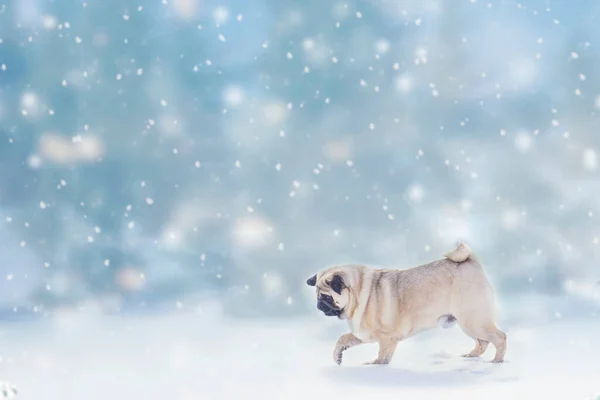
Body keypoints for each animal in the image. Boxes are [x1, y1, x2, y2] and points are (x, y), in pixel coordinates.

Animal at [308, 242, 508, 368]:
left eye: (326, 297)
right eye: (317, 296)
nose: (319, 305)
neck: (359, 295)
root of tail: (471, 261)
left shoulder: (387, 338)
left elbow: (382, 357)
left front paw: (374, 366)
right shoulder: (364, 334)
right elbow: (342, 339)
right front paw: (337, 356)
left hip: (473, 320)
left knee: (499, 337)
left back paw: (497, 361)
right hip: (469, 323)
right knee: (483, 342)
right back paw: (471, 356)